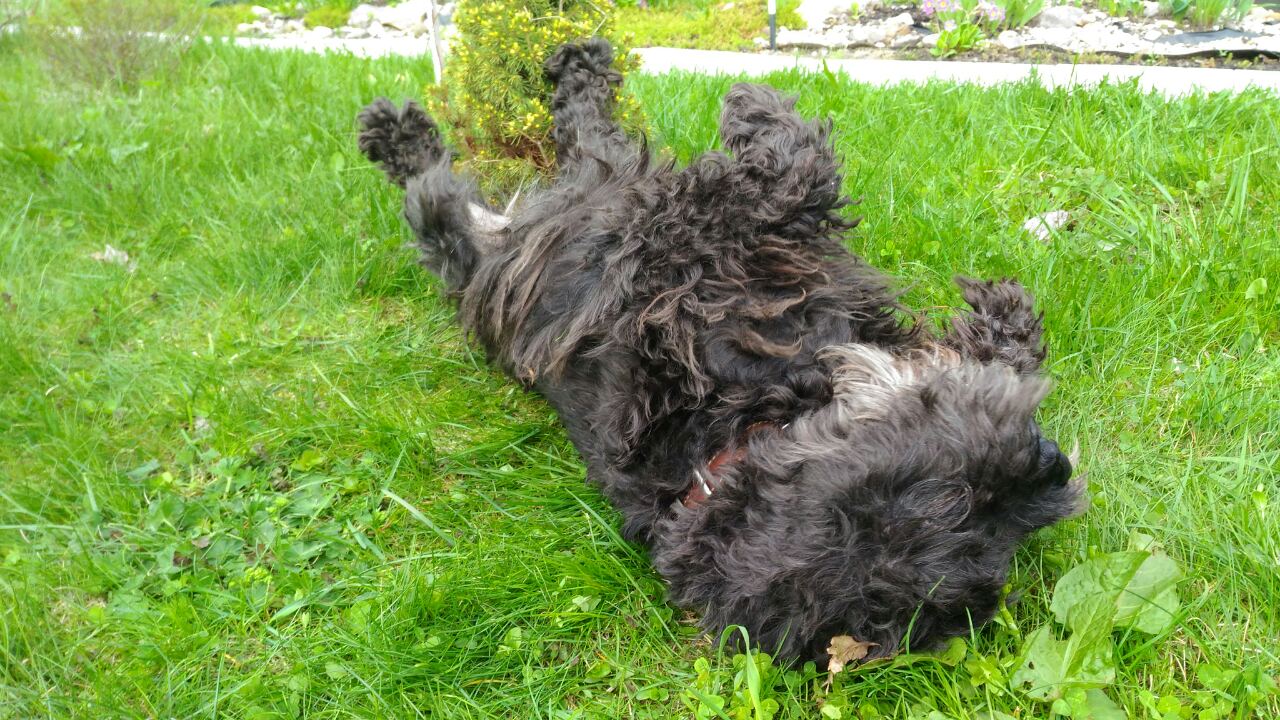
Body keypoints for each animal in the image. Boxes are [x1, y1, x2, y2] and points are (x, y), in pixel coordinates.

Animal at [356, 38, 1083, 663]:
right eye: (967, 496)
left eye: (1016, 509)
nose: (1056, 461)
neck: (721, 439)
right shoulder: (673, 274)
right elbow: (786, 177)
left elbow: (778, 179)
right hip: (517, 222)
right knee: (513, 163)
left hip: (504, 219)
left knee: (549, 151)